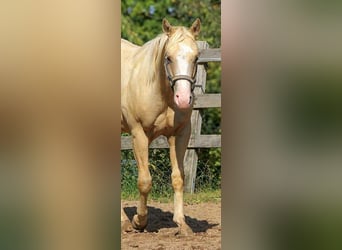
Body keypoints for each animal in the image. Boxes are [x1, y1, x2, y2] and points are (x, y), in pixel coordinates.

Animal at [121, 18, 200, 236]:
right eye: (168, 58)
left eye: (196, 58)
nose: (183, 99)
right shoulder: (139, 135)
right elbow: (145, 181)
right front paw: (139, 221)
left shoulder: (180, 134)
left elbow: (178, 177)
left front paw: (182, 223)